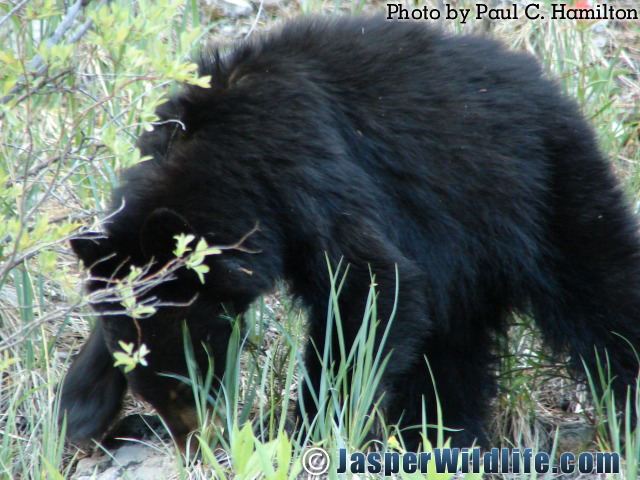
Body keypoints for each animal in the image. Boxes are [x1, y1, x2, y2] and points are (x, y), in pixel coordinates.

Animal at [59, 15, 640, 451]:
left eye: (193, 372)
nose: (196, 439)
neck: (211, 151)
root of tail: (550, 86)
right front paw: (80, 409)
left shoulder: (307, 173)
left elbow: (371, 286)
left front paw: (309, 430)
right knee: (451, 352)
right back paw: (440, 434)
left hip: (545, 190)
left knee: (603, 290)